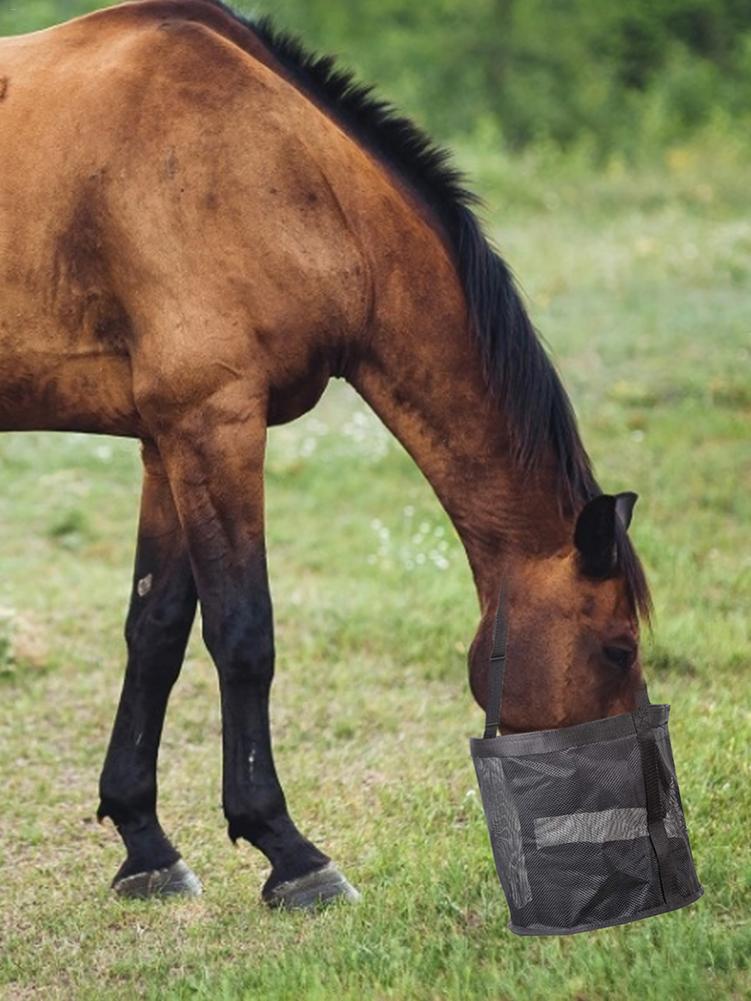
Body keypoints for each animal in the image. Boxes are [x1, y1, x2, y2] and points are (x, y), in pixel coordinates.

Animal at [0, 0, 652, 908]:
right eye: (617, 648)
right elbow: (243, 634)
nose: (630, 815)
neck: (281, 170)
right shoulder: (215, 425)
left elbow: (155, 631)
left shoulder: (166, 444)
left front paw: (144, 844)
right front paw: (288, 850)